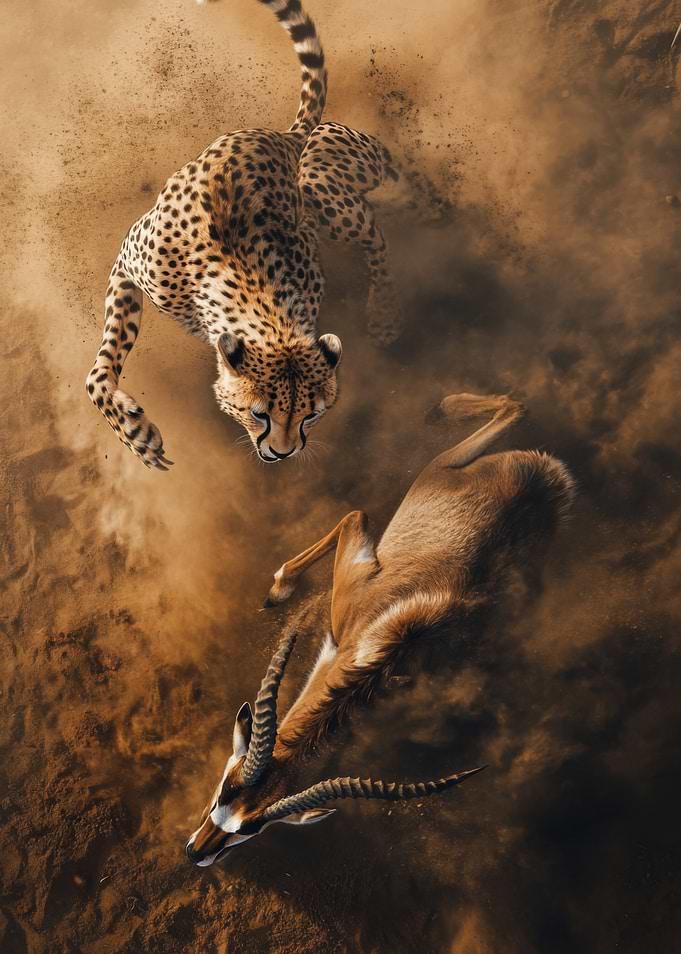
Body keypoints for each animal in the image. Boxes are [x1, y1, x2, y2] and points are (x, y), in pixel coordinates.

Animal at [85, 0, 401, 470]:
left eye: (311, 415)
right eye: (258, 413)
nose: (282, 453)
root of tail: (280, 137)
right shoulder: (126, 265)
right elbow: (98, 373)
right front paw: (136, 436)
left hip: (327, 205)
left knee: (375, 230)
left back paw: (384, 313)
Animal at [186, 393, 575, 865]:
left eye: (252, 828)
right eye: (226, 789)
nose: (196, 852)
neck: (372, 657)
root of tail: (545, 474)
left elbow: (354, 512)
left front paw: (278, 588)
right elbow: (354, 513)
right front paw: (278, 591)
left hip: (439, 467)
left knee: (513, 409)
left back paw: (441, 408)